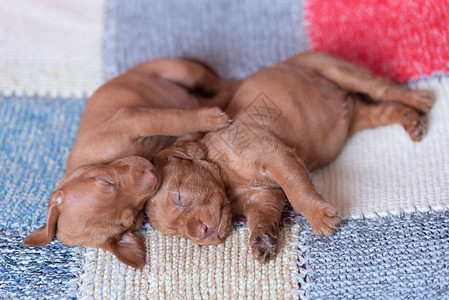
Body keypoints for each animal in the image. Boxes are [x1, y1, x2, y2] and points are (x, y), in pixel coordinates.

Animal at [21, 57, 238, 268]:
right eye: (132, 214)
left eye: (106, 181)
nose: (152, 175)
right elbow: (182, 134)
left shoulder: (134, 119)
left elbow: (174, 120)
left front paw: (211, 119)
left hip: (181, 70)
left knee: (220, 84)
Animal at [147, 51, 434, 262]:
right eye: (178, 234)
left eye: (180, 197)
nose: (201, 234)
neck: (229, 181)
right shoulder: (264, 196)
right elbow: (263, 216)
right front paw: (262, 240)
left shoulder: (277, 156)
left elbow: (297, 190)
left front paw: (319, 217)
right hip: (361, 117)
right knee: (384, 110)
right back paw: (411, 120)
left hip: (336, 69)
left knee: (380, 87)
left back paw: (419, 98)